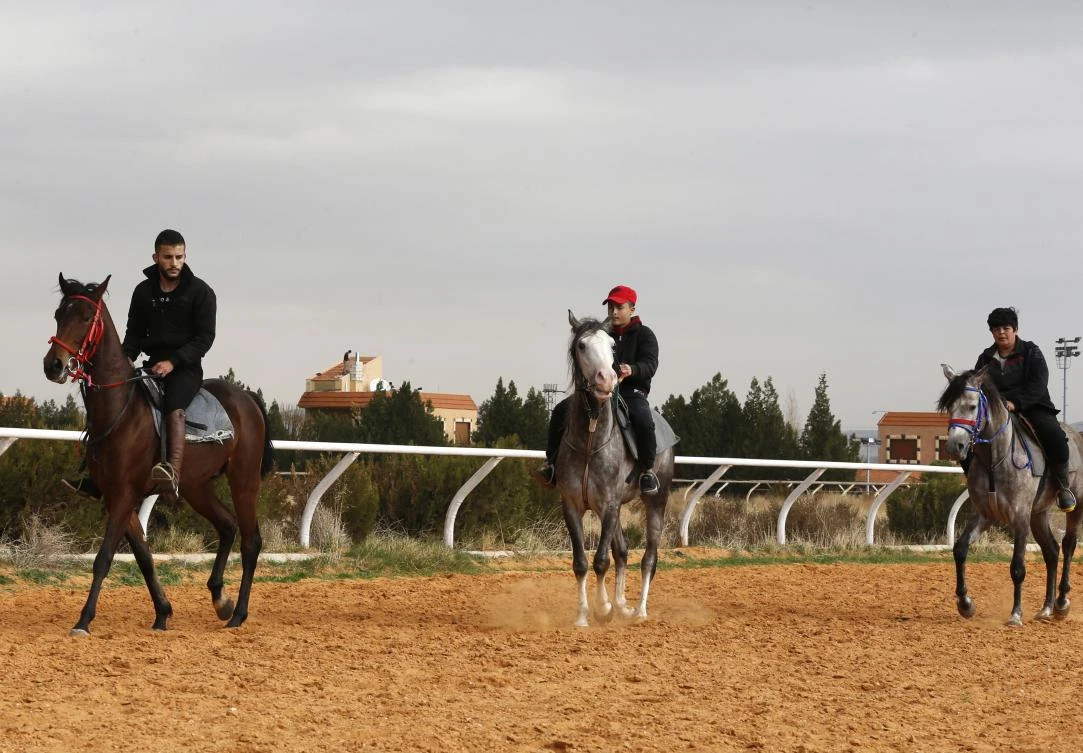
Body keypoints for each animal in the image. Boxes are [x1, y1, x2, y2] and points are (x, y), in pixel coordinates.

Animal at [43, 274, 273, 635]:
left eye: (85, 316)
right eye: (58, 314)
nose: (53, 364)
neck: (119, 410)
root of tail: (246, 398)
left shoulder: (124, 493)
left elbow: (104, 558)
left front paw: (83, 620)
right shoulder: (115, 495)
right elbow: (144, 557)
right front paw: (162, 612)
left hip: (244, 480)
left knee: (251, 542)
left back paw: (238, 614)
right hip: (196, 486)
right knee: (227, 526)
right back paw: (220, 599)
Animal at [555, 311, 675, 628]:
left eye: (611, 345)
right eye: (582, 345)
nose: (607, 378)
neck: (590, 440)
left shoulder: (608, 504)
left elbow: (601, 561)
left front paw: (603, 608)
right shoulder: (573, 505)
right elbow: (581, 563)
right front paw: (584, 615)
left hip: (656, 502)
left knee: (649, 558)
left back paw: (639, 611)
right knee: (622, 550)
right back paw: (622, 604)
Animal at [939, 364, 1083, 626]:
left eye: (972, 406)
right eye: (949, 407)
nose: (955, 446)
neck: (995, 459)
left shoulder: (1019, 518)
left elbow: (1017, 567)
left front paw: (1016, 614)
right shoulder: (984, 515)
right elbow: (960, 550)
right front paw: (965, 604)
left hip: (1075, 507)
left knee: (1068, 545)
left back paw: (1061, 603)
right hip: (1038, 514)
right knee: (1051, 551)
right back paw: (1046, 608)